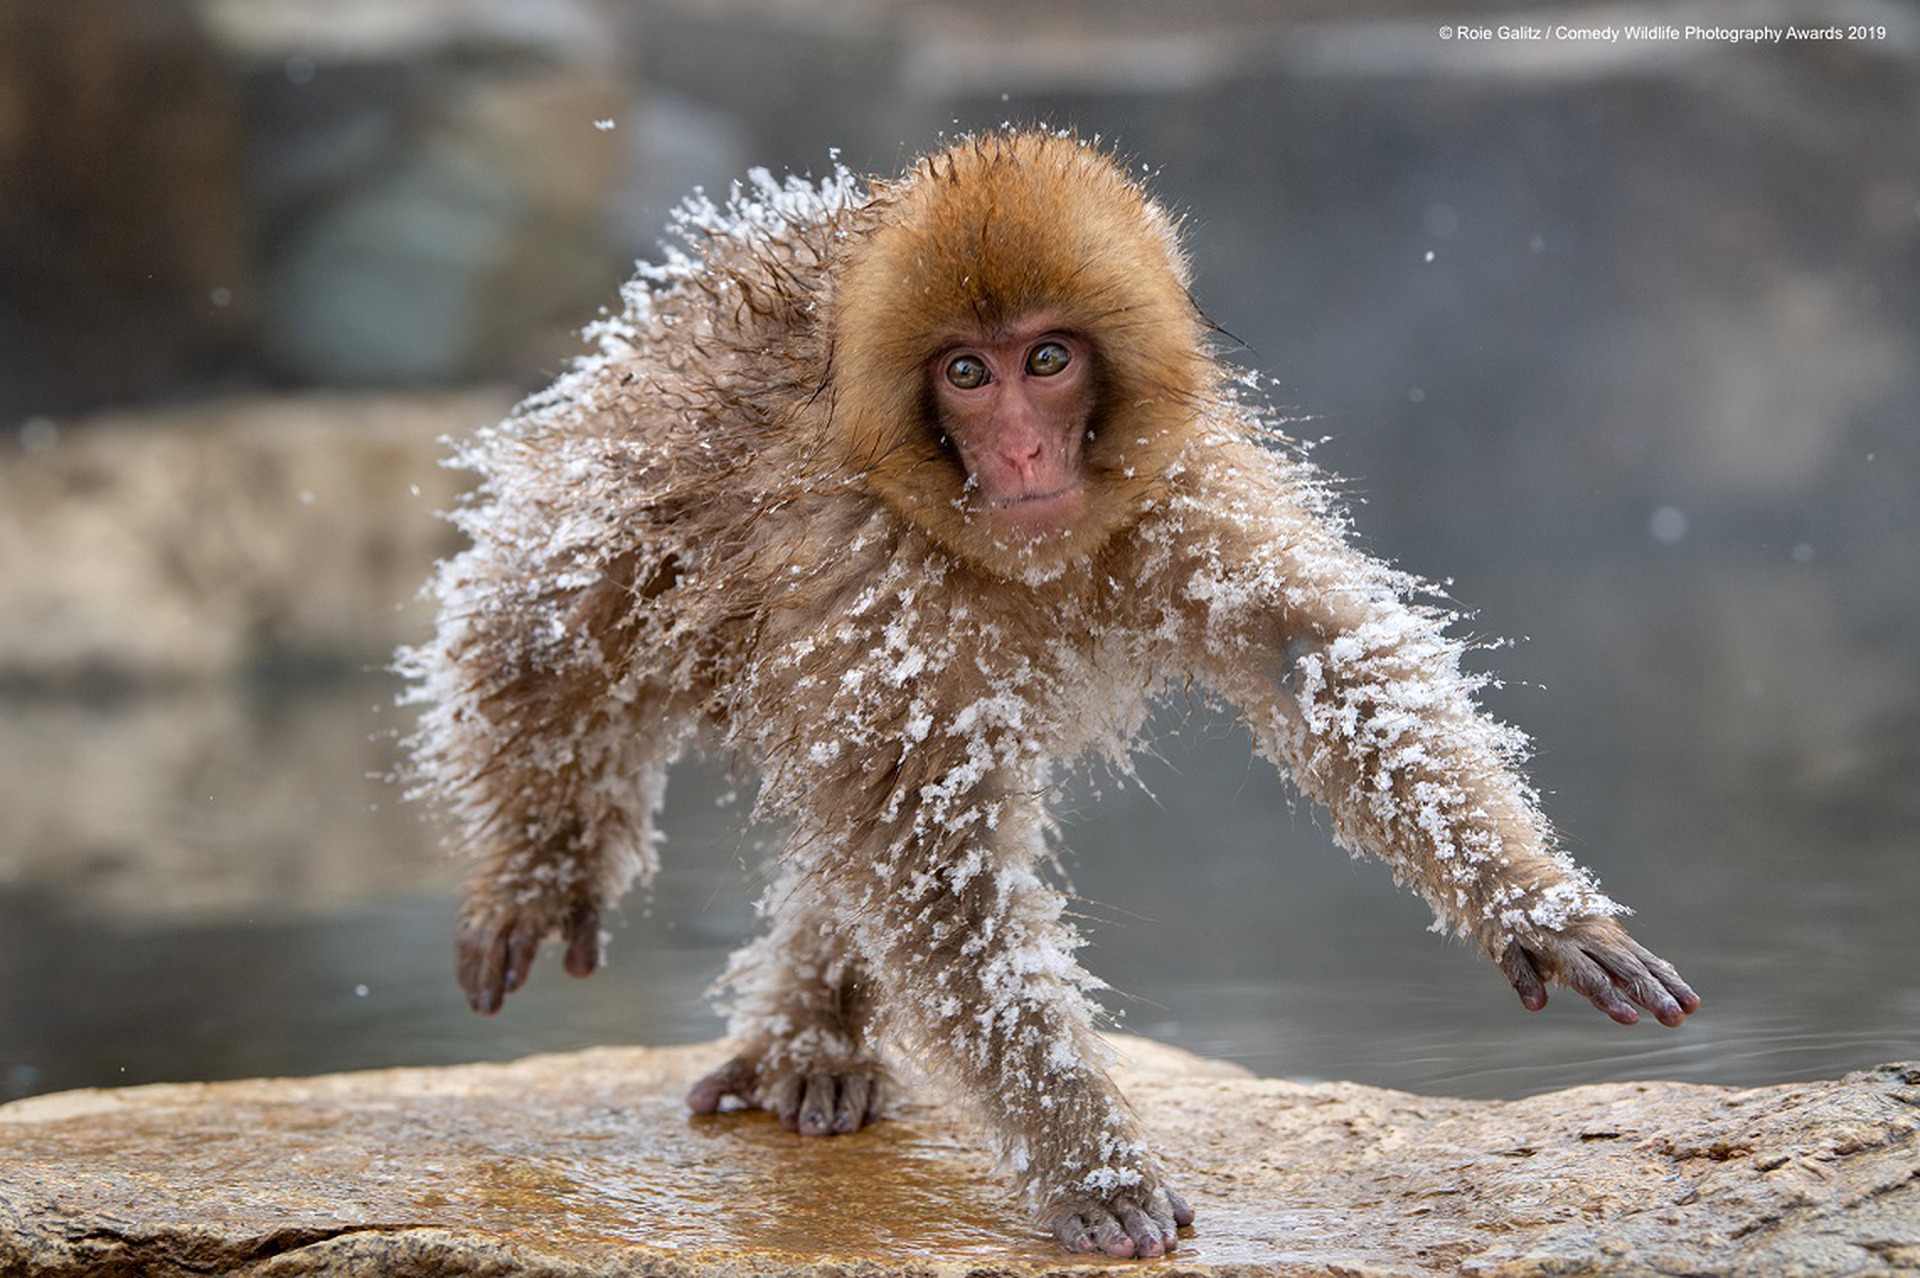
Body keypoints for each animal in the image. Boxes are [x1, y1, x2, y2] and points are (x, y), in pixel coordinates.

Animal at [399, 130, 1698, 1260]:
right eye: (968, 373)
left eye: (1049, 360)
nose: (1024, 452)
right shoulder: (873, 570)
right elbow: (928, 856)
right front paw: (1092, 1164)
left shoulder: (1177, 490)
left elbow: (1315, 661)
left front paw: (1537, 908)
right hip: (632, 450)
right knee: (547, 628)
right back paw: (557, 865)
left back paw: (815, 1034)